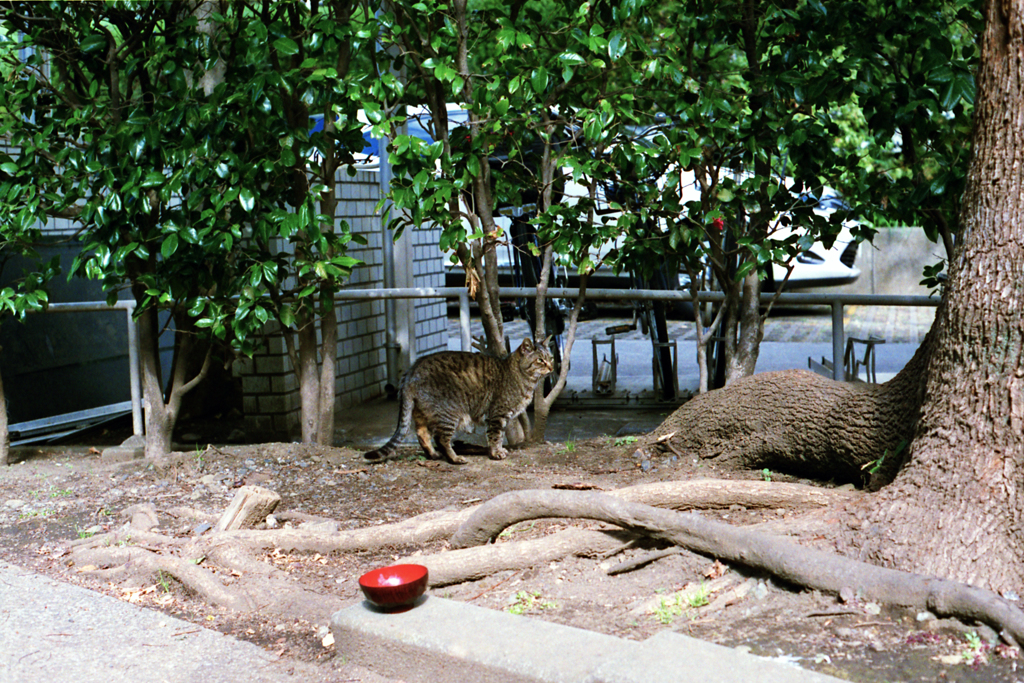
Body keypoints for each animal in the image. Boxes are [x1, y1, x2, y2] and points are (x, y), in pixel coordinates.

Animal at [360, 337, 552, 464]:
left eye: (550, 358)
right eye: (540, 360)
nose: (550, 367)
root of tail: (412, 370)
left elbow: (500, 435)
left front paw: (498, 450)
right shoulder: (498, 415)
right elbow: (496, 435)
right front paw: (496, 453)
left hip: (422, 413)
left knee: (422, 433)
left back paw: (433, 455)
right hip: (450, 414)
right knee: (441, 439)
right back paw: (455, 458)